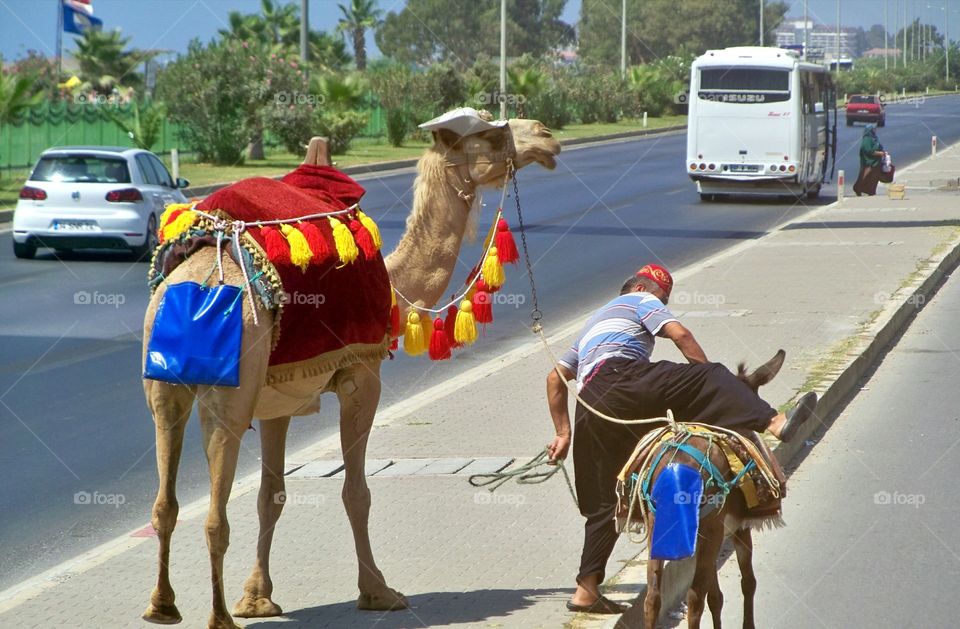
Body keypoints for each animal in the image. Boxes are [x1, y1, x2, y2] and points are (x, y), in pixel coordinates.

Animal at [142, 115, 564, 624]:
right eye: (487, 133)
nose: (545, 135)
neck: (394, 284)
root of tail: (190, 288)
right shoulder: (361, 378)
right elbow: (356, 493)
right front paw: (379, 591)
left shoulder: (277, 399)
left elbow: (271, 496)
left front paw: (258, 598)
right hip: (229, 399)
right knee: (214, 514)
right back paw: (218, 617)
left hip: (164, 392)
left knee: (165, 501)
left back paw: (162, 605)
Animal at [636, 350, 788, 624]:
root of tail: (677, 467)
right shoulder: (738, 528)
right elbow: (747, 582)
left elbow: (715, 595)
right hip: (711, 528)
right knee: (694, 596)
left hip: (659, 527)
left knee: (653, 597)